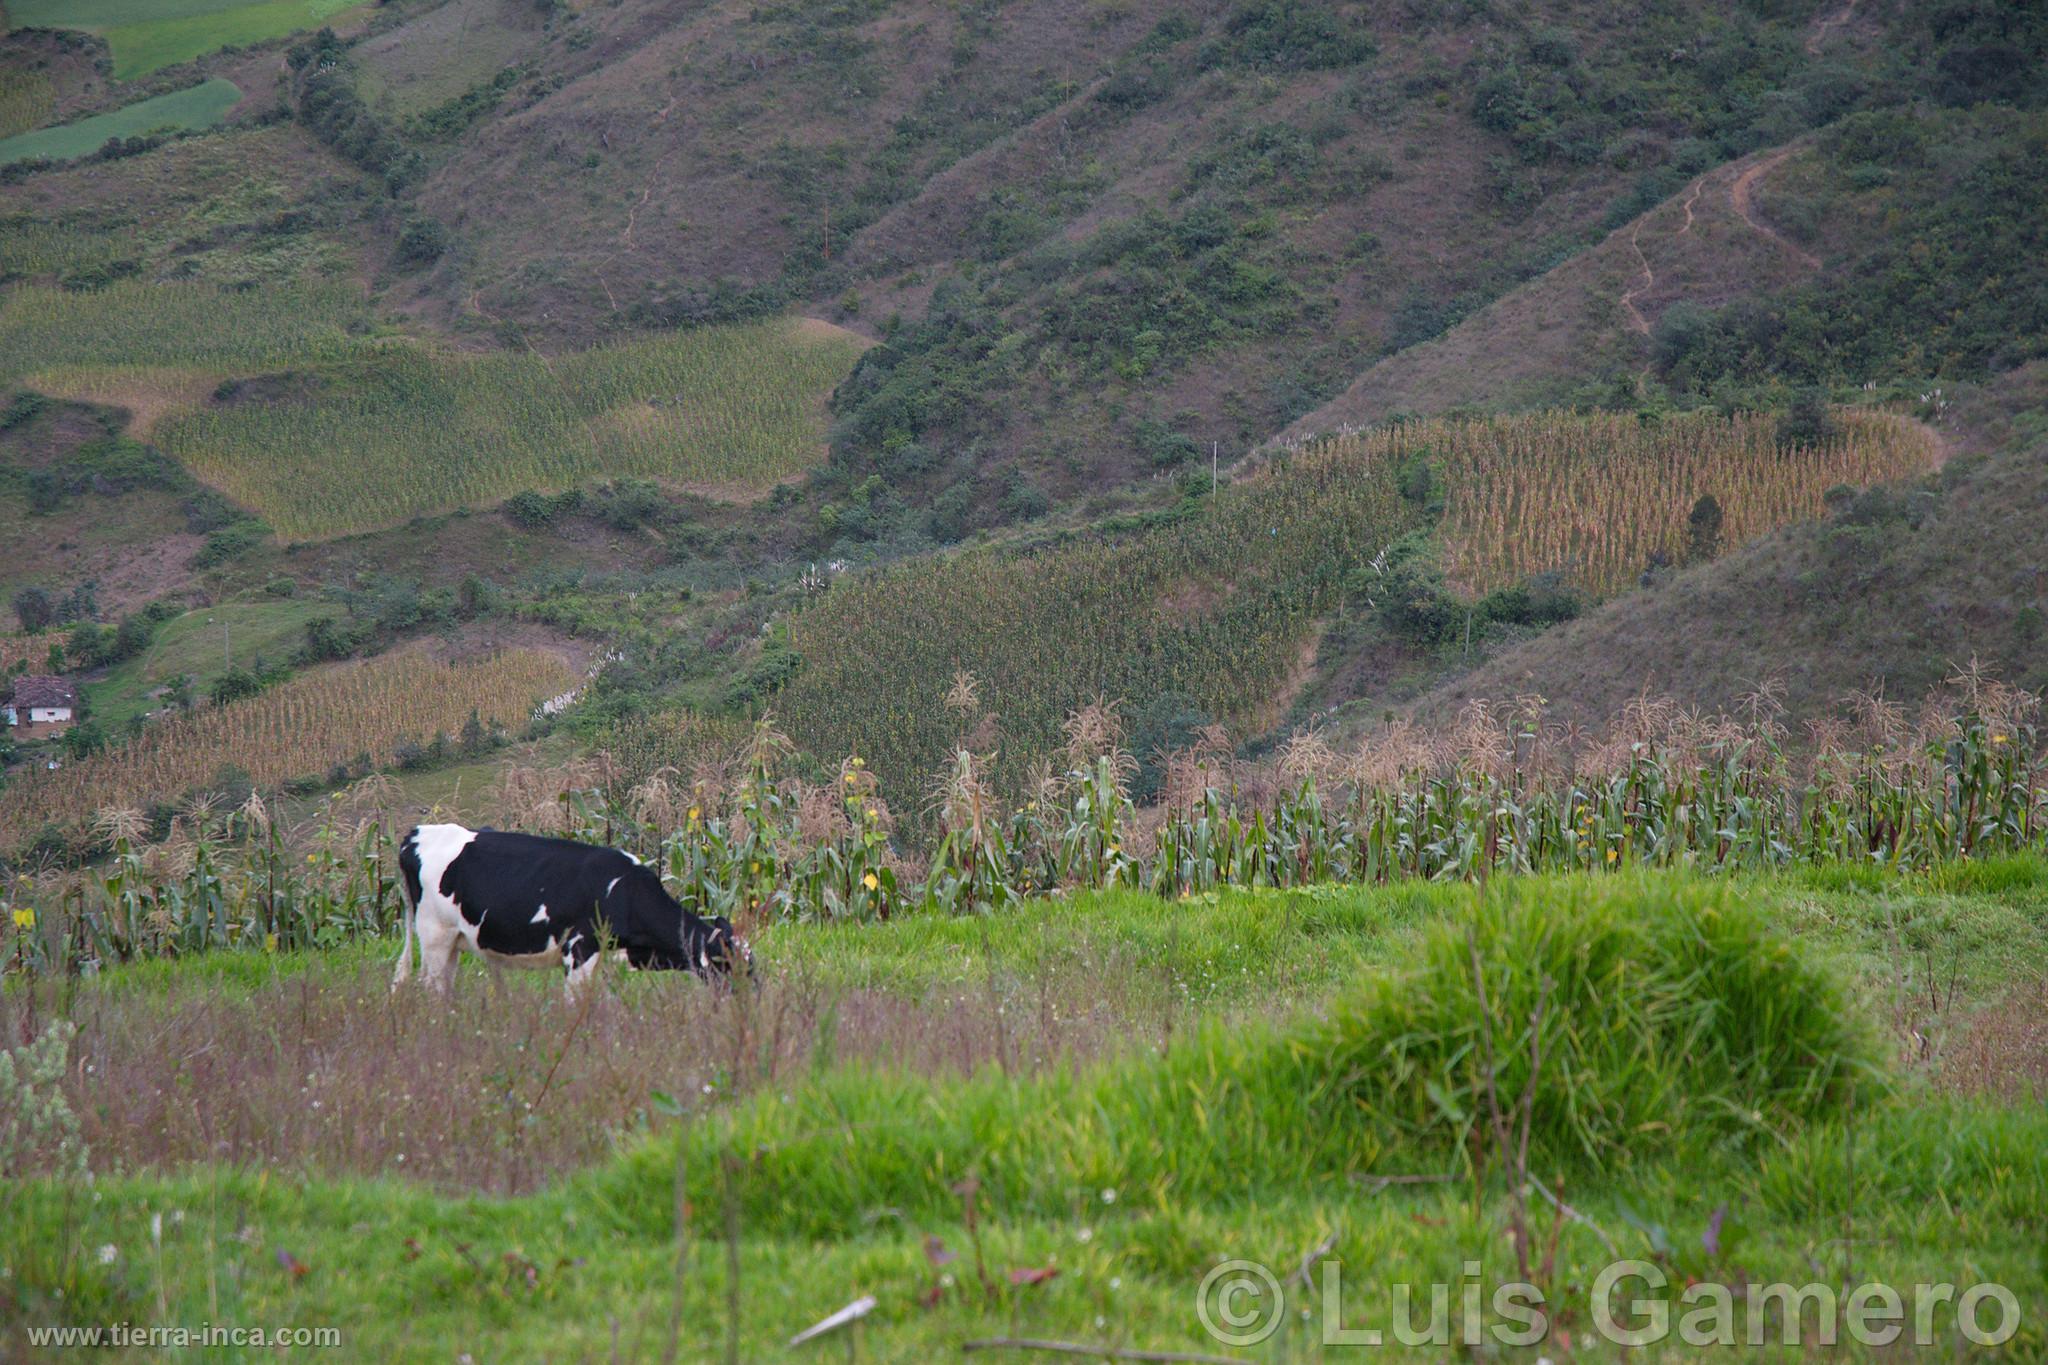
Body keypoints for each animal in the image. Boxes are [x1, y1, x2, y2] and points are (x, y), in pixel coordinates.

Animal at [391, 822, 753, 994]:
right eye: (730, 964)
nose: (752, 999)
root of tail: (416, 833)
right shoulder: (579, 950)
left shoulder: (602, 957)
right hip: (434, 935)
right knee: (433, 987)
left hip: (452, 941)